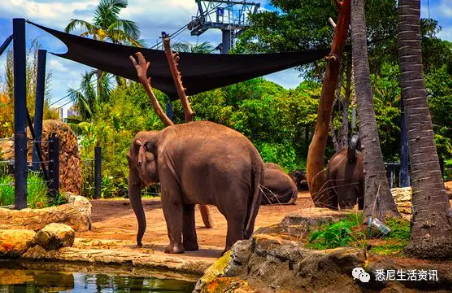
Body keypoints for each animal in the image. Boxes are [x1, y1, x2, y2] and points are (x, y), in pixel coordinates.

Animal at [126, 120, 264, 253]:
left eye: (128, 160)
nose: (140, 245)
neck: (155, 134)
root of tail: (254, 155)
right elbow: (187, 207)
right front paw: (190, 249)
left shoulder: (165, 166)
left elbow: (171, 201)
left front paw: (170, 251)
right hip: (258, 182)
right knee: (251, 215)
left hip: (231, 181)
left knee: (234, 215)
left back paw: (227, 252)